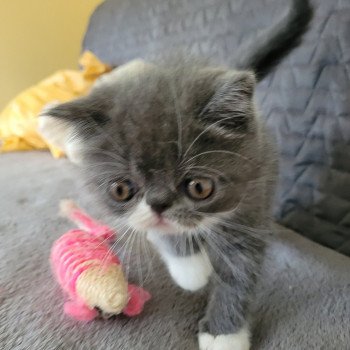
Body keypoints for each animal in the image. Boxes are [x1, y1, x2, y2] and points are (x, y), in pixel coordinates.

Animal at [39, 1, 312, 348]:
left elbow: (239, 269)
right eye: (121, 190)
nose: (158, 204)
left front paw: (225, 333)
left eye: (199, 187)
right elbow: (164, 232)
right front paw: (192, 270)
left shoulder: (254, 196)